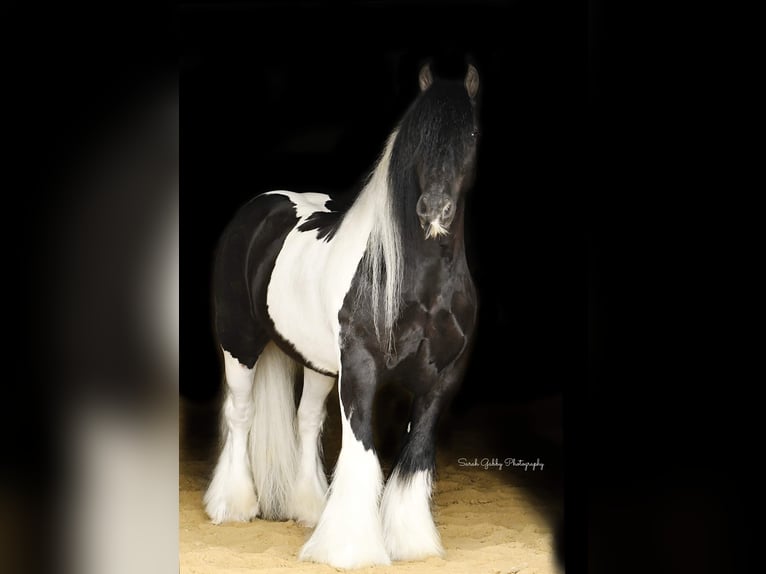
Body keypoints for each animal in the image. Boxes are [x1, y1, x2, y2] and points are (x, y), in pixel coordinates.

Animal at [204, 60, 480, 568]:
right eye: (416, 135)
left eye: (470, 133)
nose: (434, 210)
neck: (421, 283)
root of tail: (261, 206)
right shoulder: (361, 370)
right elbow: (361, 452)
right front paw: (348, 549)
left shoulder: (440, 380)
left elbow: (414, 455)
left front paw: (408, 542)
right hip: (239, 345)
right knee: (240, 415)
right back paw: (232, 505)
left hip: (317, 363)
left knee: (306, 421)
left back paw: (309, 509)